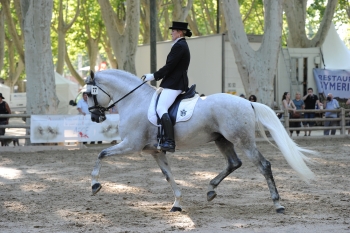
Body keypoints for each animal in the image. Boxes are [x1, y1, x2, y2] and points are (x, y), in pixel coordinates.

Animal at [86, 68, 316, 213]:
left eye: (88, 93)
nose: (95, 117)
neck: (136, 101)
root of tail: (247, 103)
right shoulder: (156, 151)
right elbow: (168, 176)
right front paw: (177, 203)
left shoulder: (131, 145)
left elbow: (101, 154)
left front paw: (95, 184)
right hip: (222, 140)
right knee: (234, 163)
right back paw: (211, 189)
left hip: (243, 141)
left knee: (264, 165)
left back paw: (278, 204)